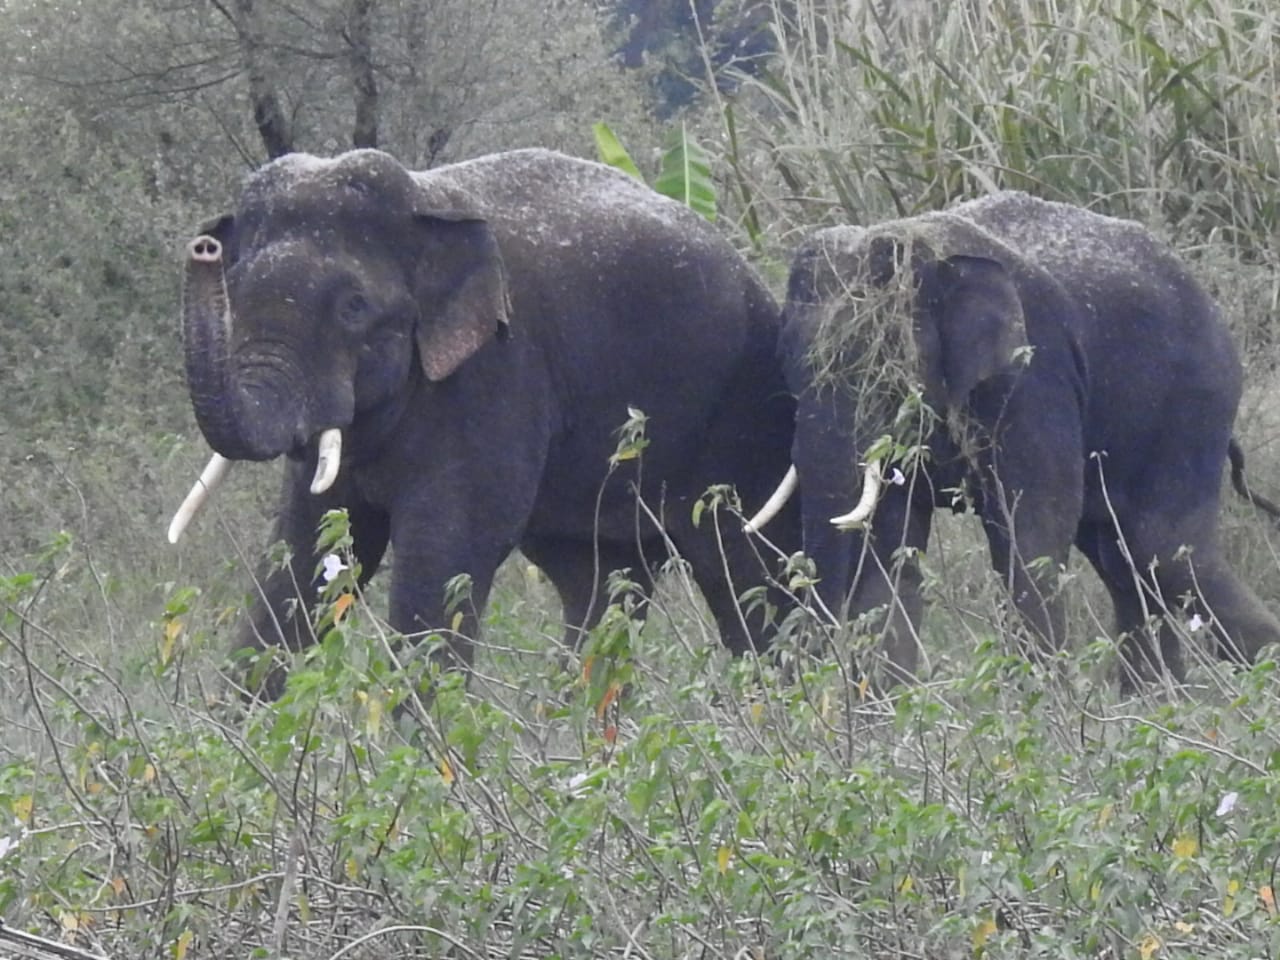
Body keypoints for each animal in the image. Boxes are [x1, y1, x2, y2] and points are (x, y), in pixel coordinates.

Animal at [165, 146, 793, 696]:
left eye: (353, 307)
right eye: (233, 293)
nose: (201, 247)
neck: (426, 202)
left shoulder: (496, 377)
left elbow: (445, 553)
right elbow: (304, 550)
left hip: (741, 421)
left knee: (740, 574)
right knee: (601, 581)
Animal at [747, 193, 1280, 691]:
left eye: (882, 370)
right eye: (787, 367)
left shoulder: (1032, 377)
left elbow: (1032, 528)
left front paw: (1040, 702)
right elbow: (891, 543)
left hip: (1190, 405)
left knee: (1161, 548)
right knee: (1124, 559)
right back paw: (1155, 699)